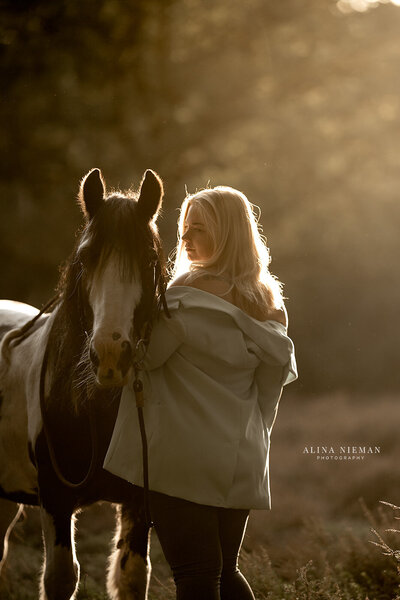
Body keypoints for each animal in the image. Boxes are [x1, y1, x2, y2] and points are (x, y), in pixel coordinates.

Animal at [0, 165, 167, 600]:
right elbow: (60, 577)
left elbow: (131, 576)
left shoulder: (138, 501)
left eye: (149, 258)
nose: (110, 356)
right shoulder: (55, 500)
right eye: (87, 258)